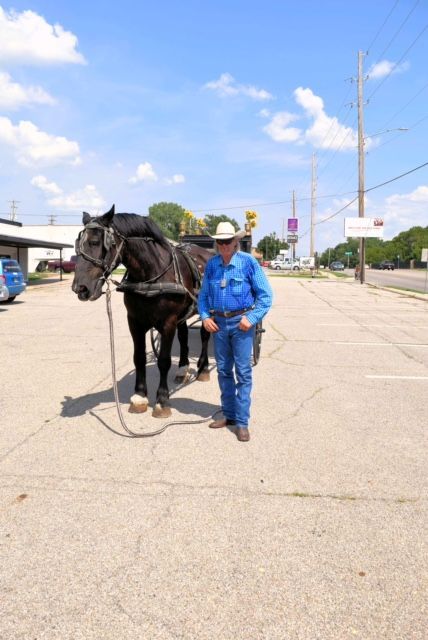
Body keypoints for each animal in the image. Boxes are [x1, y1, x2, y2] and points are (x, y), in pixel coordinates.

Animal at [71, 205, 213, 418]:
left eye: (95, 242)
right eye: (76, 245)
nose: (79, 288)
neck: (151, 274)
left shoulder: (168, 323)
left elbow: (163, 361)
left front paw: (162, 400)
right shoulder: (135, 321)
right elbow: (138, 357)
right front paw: (139, 397)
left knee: (205, 335)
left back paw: (203, 368)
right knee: (184, 336)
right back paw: (182, 369)